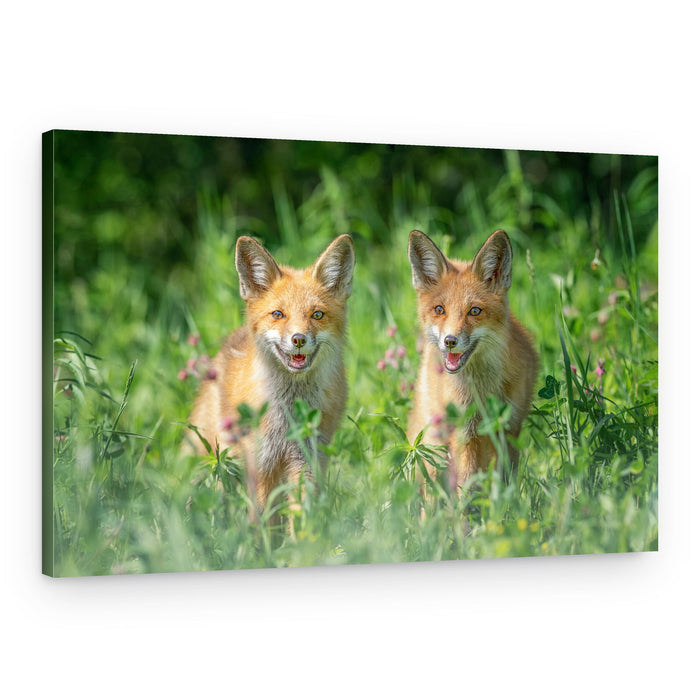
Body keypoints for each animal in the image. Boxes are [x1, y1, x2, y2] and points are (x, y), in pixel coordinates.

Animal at [185, 234, 355, 508]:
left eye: (317, 314)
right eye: (278, 314)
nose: (299, 339)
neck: (287, 414)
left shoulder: (306, 459)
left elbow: (301, 512)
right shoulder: (262, 463)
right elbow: (264, 515)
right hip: (218, 460)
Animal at [407, 229, 538, 488]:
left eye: (474, 311)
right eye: (439, 310)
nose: (450, 341)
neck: (483, 391)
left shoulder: (509, 428)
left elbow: (505, 481)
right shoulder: (465, 434)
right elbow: (467, 486)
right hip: (435, 444)